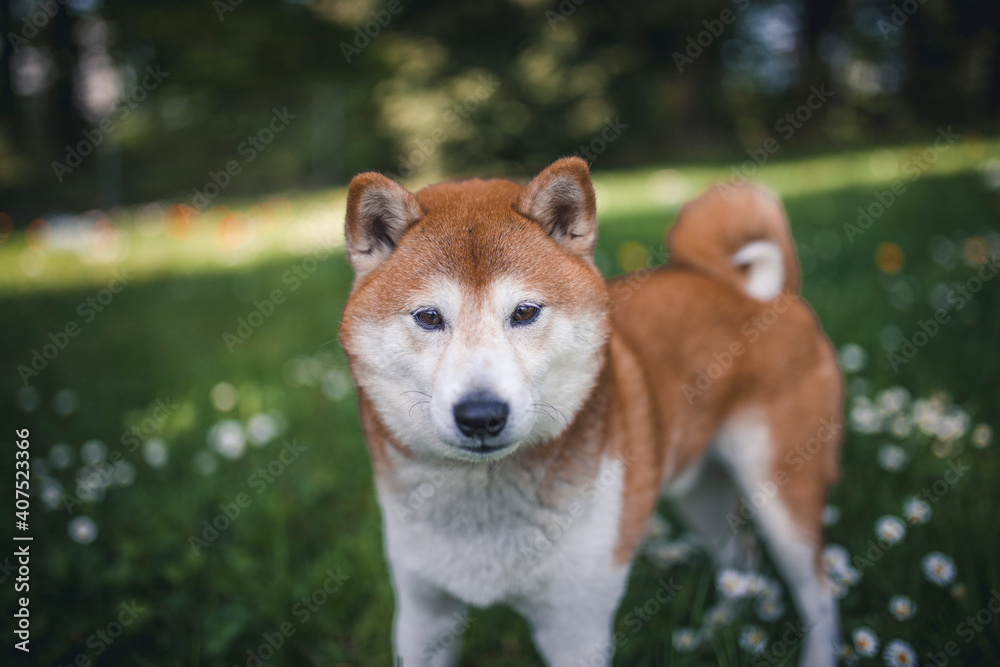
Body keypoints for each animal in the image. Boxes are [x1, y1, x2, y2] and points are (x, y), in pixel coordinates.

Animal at [338, 158, 844, 667]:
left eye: (525, 312)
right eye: (428, 317)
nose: (481, 415)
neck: (486, 508)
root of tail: (744, 288)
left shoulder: (575, 627)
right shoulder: (424, 615)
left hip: (782, 493)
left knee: (819, 593)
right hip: (702, 492)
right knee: (739, 558)